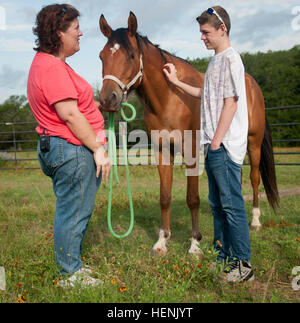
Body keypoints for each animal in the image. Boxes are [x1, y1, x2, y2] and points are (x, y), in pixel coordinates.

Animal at [98, 12, 278, 256]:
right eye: (101, 56)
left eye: (132, 55)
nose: (107, 100)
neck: (171, 97)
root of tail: (252, 85)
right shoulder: (163, 151)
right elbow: (165, 197)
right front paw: (162, 241)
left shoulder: (192, 153)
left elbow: (192, 198)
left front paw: (195, 244)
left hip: (254, 143)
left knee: (254, 178)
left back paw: (256, 221)